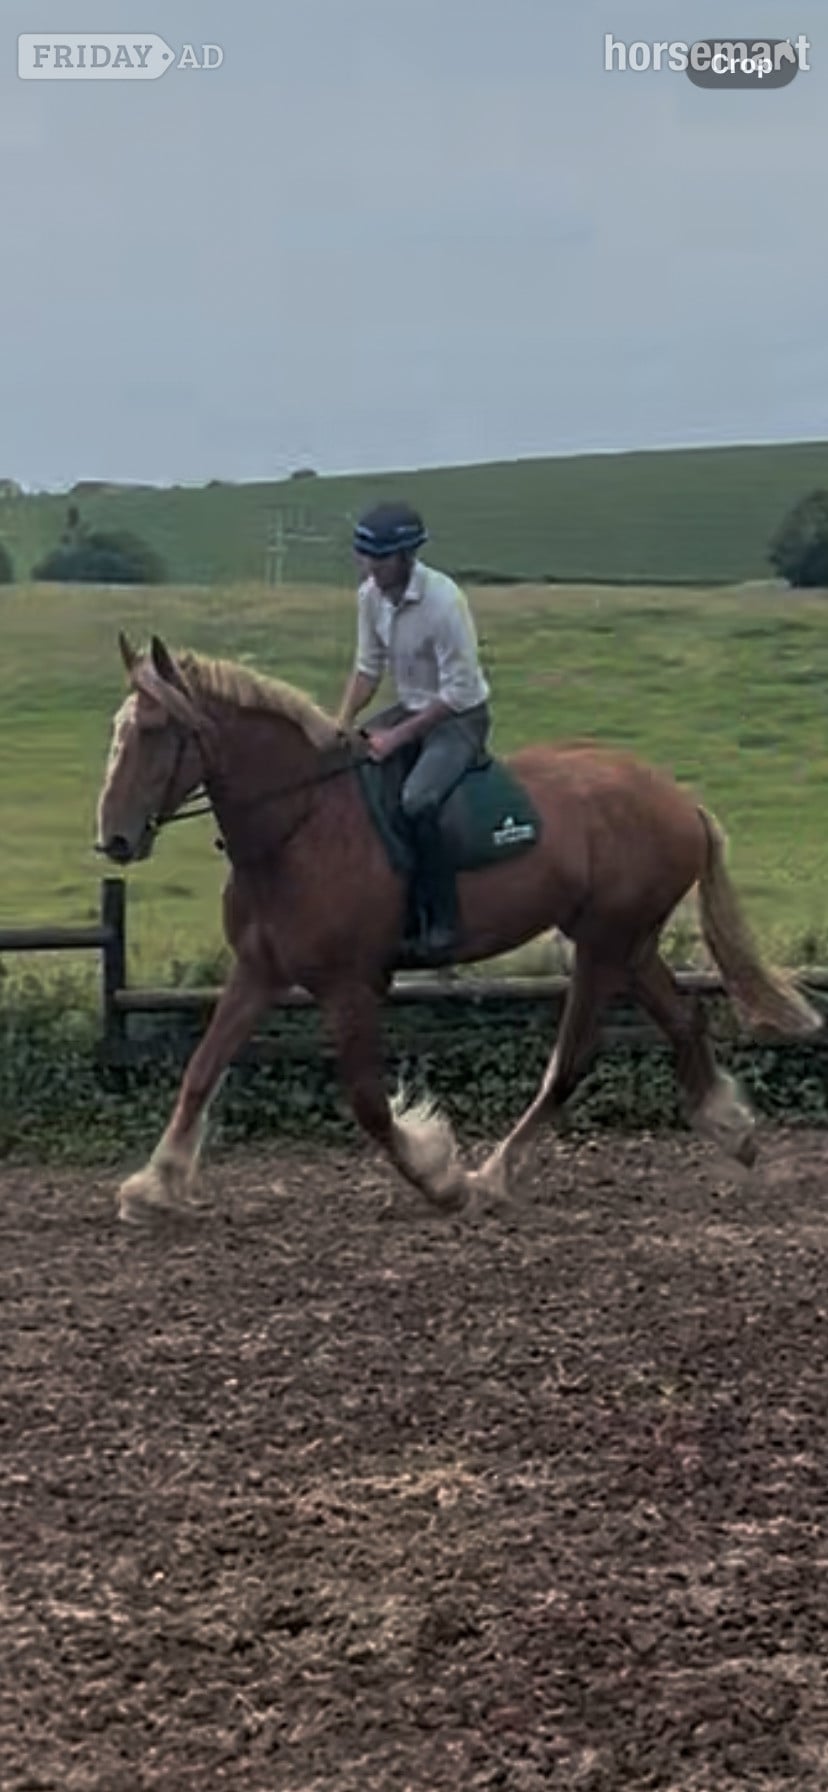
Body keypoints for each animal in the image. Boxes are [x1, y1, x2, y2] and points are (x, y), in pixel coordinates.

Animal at [95, 632, 822, 1223]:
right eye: (120, 729)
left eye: (156, 731)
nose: (115, 839)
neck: (301, 825)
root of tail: (679, 800)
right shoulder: (258, 973)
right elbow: (200, 1070)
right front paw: (154, 1186)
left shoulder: (349, 985)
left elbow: (368, 1103)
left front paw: (440, 1179)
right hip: (628, 944)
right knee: (684, 1022)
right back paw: (734, 1132)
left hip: (603, 945)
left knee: (573, 1056)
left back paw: (494, 1177)